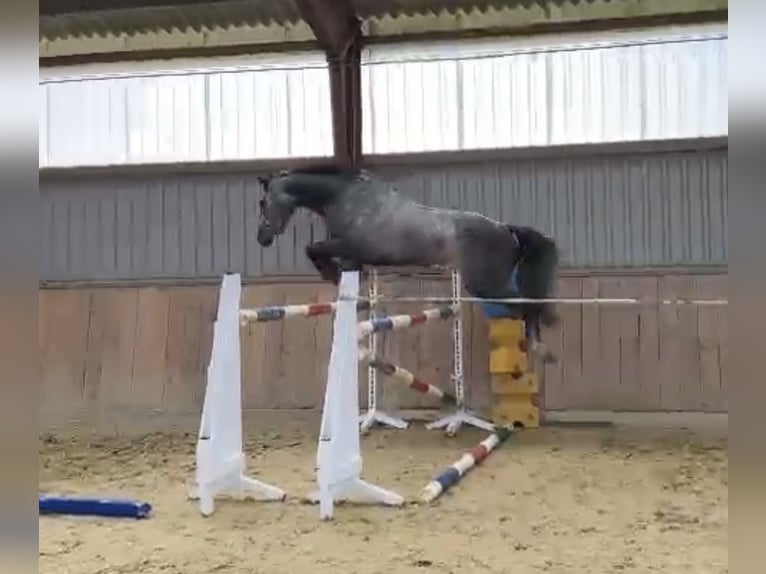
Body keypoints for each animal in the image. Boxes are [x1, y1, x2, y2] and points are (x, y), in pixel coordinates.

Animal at [256, 165, 560, 363]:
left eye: (262, 202)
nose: (263, 238)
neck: (346, 197)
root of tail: (506, 229)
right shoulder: (355, 257)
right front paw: (345, 286)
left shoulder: (350, 247)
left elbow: (313, 248)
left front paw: (330, 273)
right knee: (524, 306)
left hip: (485, 283)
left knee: (526, 306)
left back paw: (538, 349)